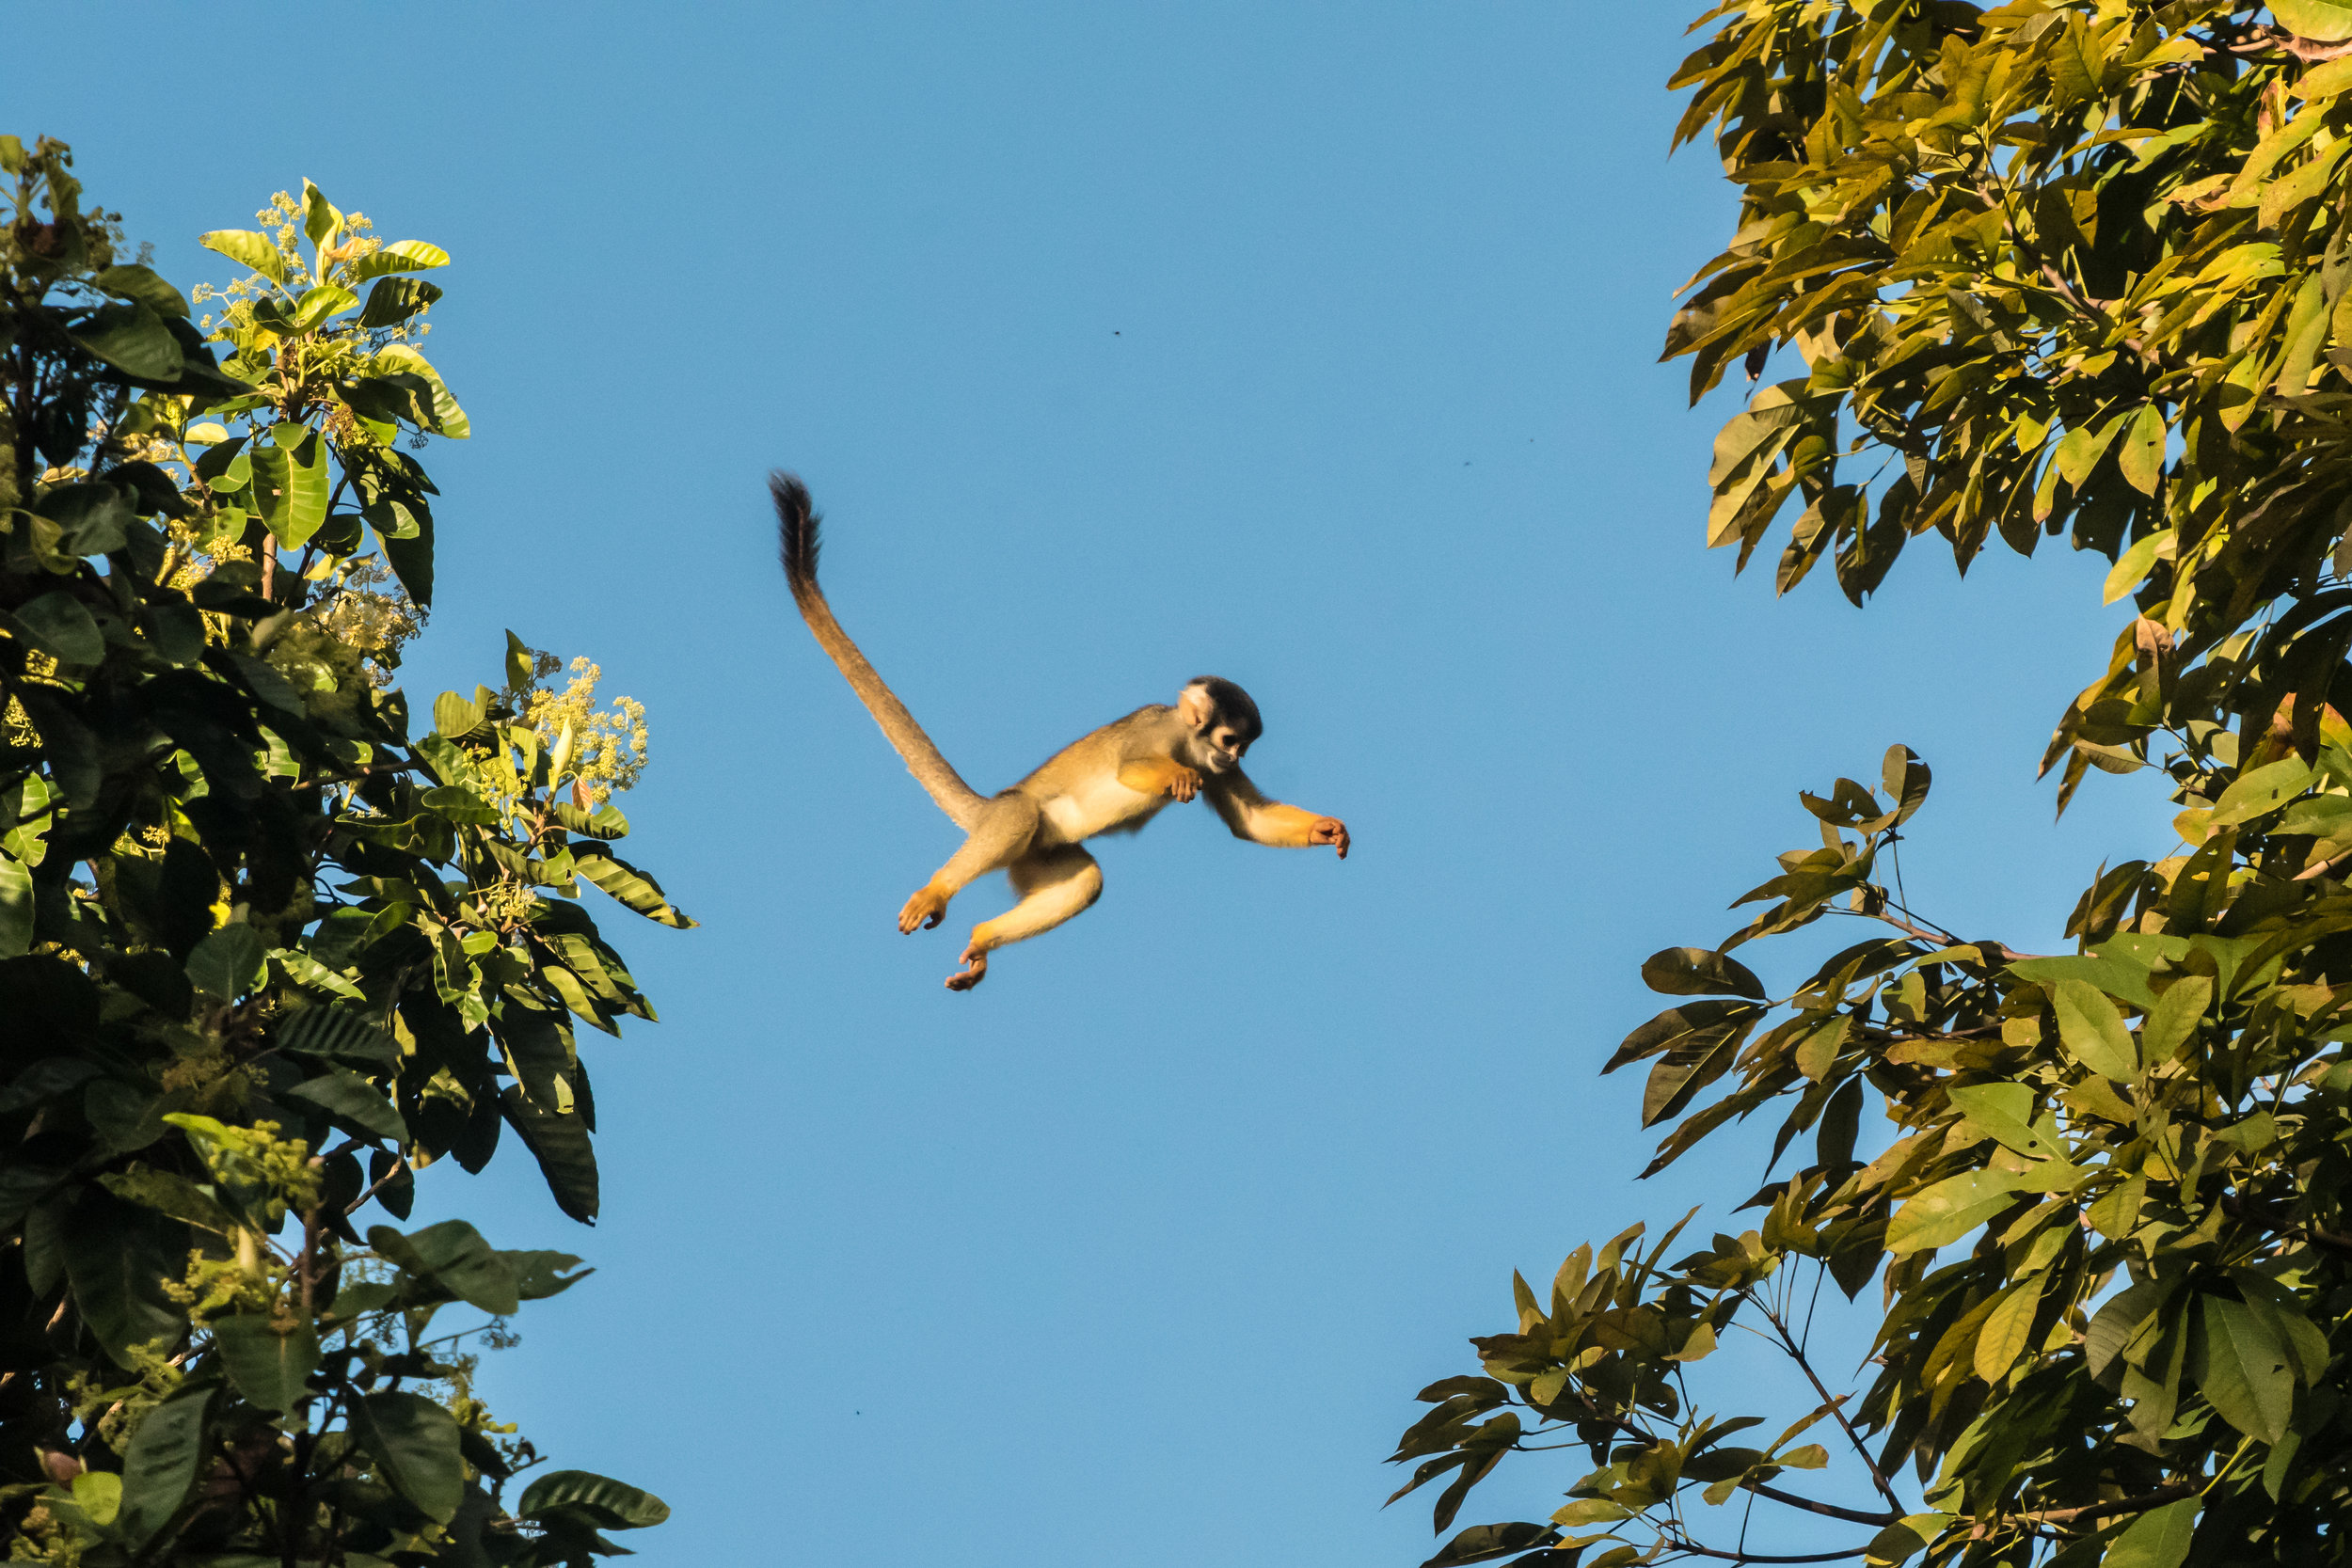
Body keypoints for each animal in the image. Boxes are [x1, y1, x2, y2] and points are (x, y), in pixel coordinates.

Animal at [781, 479, 1355, 991]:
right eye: (1231, 742)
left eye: (1244, 749)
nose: (1232, 761)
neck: (1191, 743)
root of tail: (984, 810)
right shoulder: (1159, 728)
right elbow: (1131, 766)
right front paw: (1177, 777)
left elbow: (1248, 821)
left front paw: (1323, 830)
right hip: (1010, 824)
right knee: (1020, 815)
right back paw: (940, 890)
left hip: (1037, 857)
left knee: (1083, 881)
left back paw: (983, 938)